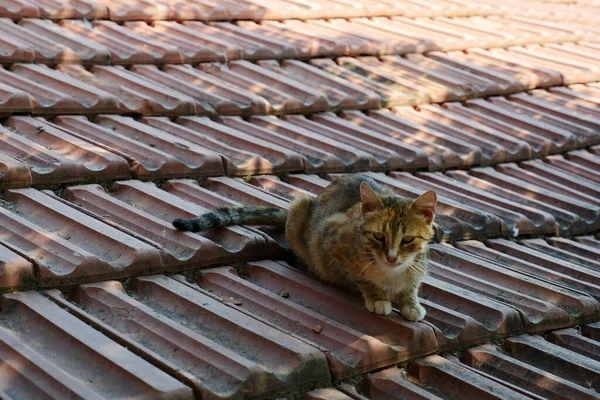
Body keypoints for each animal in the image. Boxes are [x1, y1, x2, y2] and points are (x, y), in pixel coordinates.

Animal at [173, 175, 436, 322]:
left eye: (408, 239)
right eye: (379, 236)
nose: (391, 257)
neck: (390, 273)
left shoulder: (418, 263)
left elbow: (412, 283)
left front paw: (411, 302)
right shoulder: (330, 241)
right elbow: (360, 276)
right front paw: (377, 296)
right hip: (300, 206)